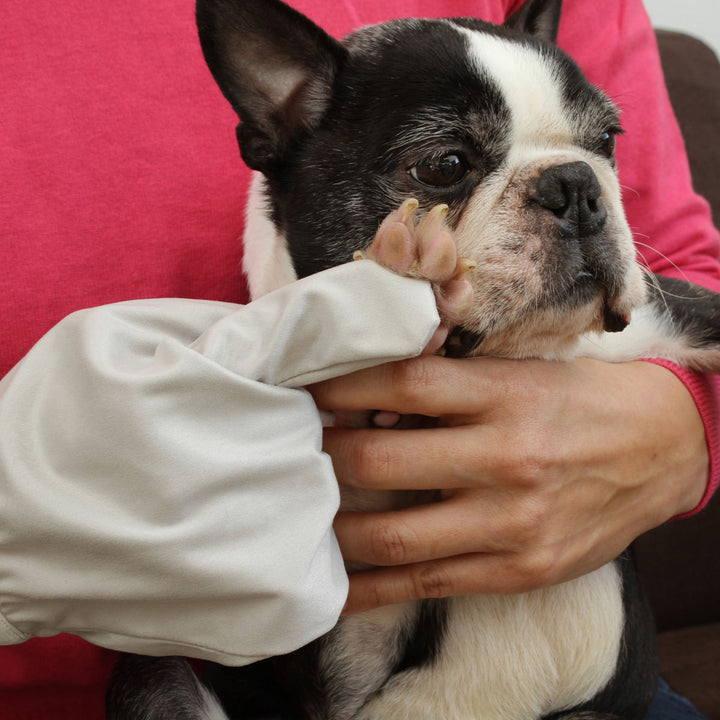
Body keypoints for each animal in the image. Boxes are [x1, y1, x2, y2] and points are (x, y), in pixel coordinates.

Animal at [107, 1, 720, 720]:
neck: (517, 354)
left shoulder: (668, 314)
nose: (575, 184)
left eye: (609, 141)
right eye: (444, 164)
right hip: (156, 676)